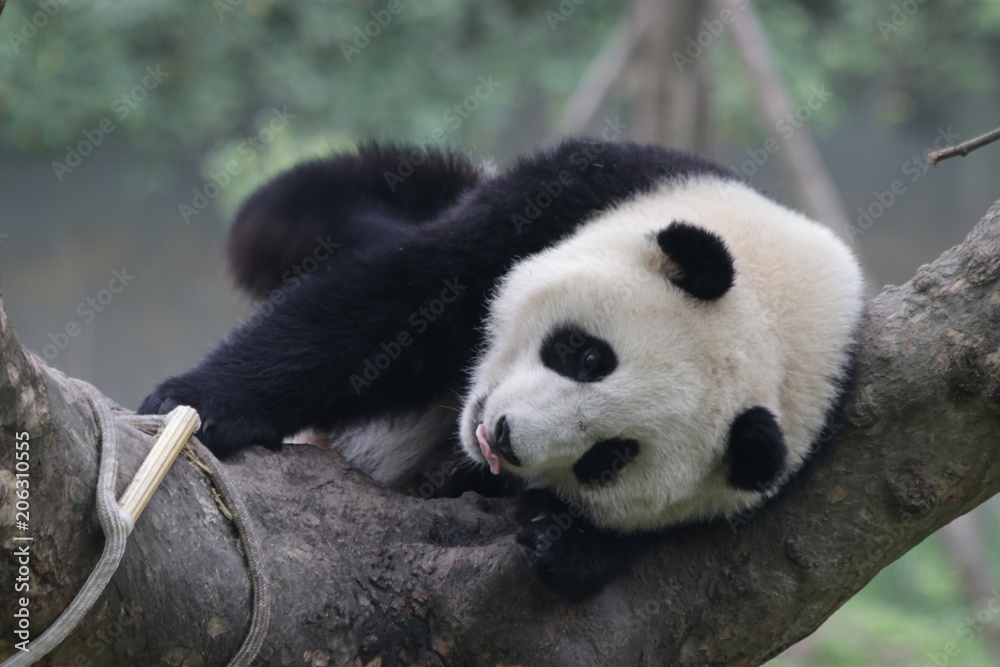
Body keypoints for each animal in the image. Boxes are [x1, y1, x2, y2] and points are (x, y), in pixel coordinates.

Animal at [140, 138, 864, 600]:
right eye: (587, 355)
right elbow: (400, 301)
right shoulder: (595, 184)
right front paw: (199, 402)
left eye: (611, 456)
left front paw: (567, 544)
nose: (507, 436)